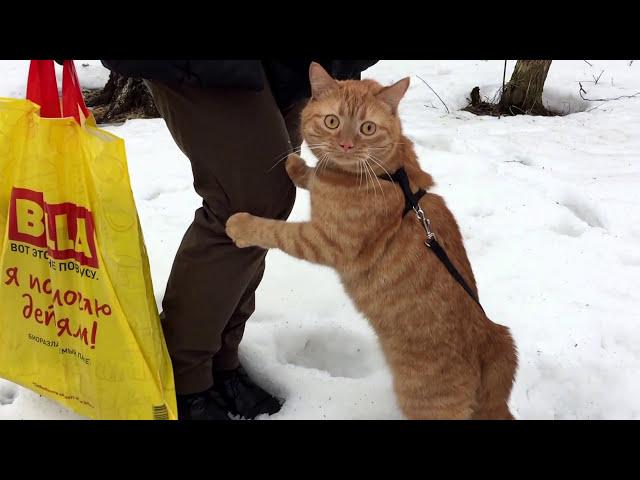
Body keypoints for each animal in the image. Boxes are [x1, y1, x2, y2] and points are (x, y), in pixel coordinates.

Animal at [228, 62, 516, 418]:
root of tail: (491, 342)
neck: (386, 171)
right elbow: (313, 175)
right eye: (332, 121)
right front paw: (298, 166)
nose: (346, 146)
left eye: (367, 128)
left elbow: (275, 231)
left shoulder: (324, 242)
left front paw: (240, 225)